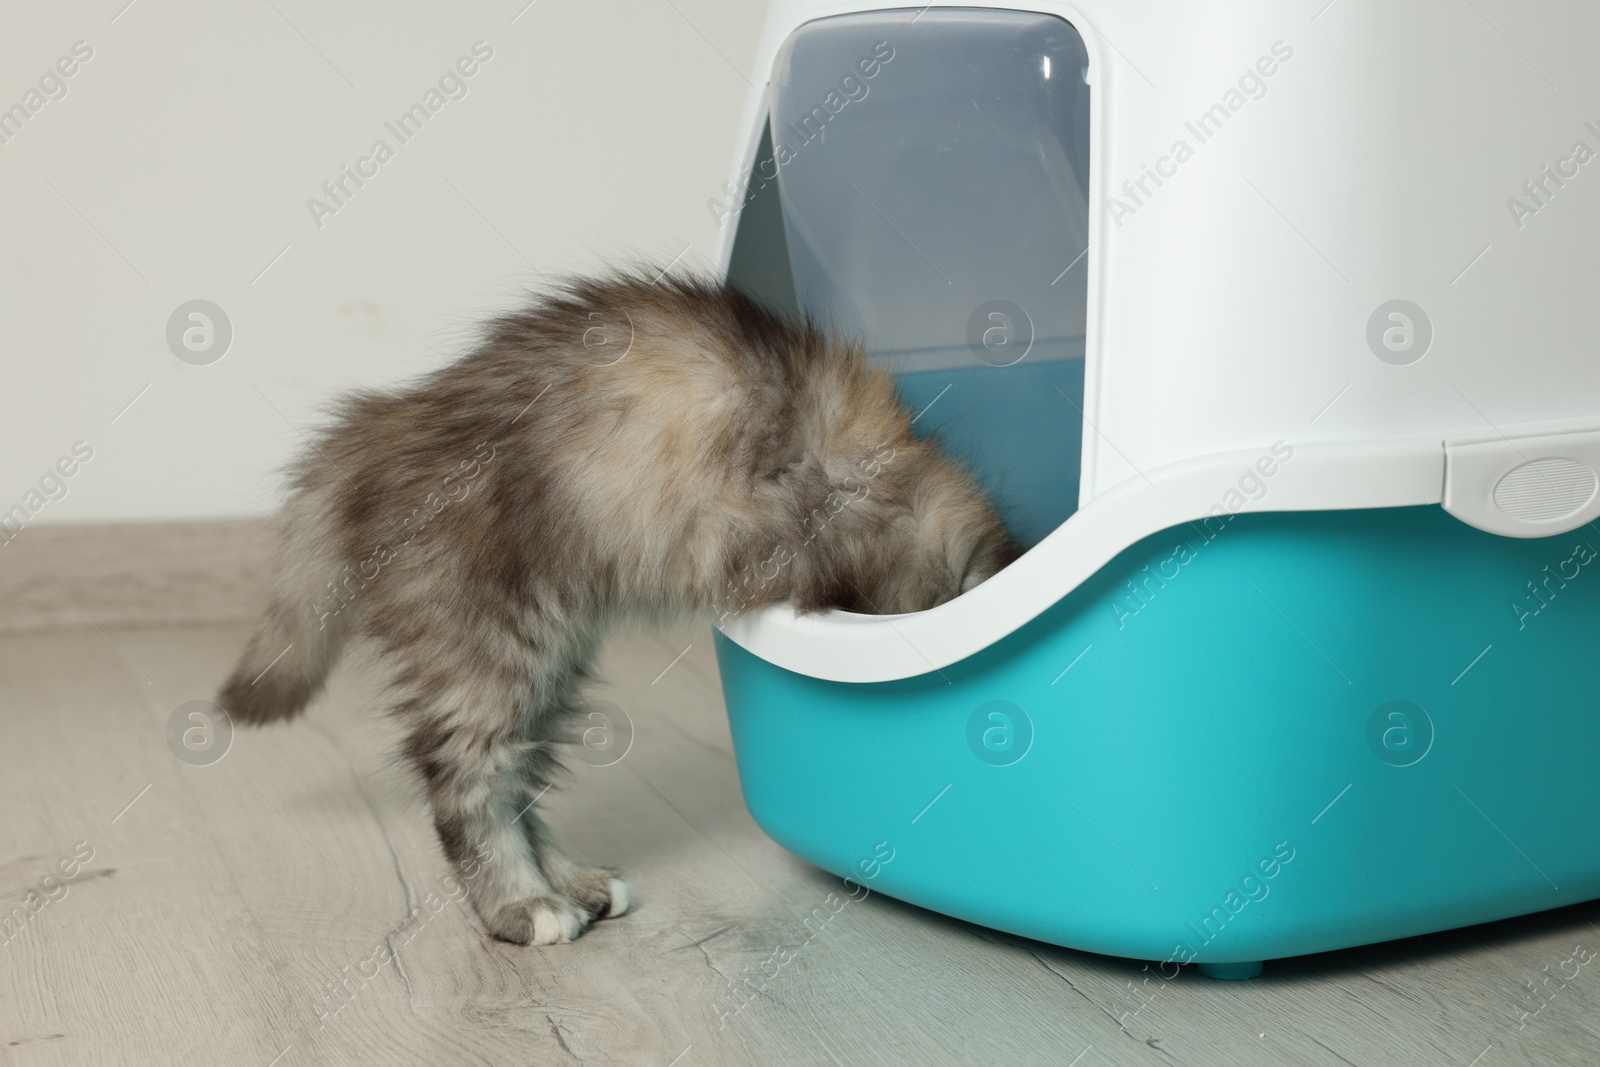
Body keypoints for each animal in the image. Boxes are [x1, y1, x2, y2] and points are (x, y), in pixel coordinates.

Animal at [219, 271, 1017, 947]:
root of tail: (384, 423)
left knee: (519, 783)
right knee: (469, 784)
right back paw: (523, 906)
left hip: (551, 664)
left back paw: (573, 884)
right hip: (492, 648)